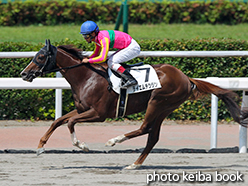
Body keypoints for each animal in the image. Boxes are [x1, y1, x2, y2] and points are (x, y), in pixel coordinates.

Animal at [20, 40, 247, 169]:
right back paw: (135, 164)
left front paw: (82, 145)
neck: (86, 76)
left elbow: (70, 123)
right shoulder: (83, 109)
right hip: (165, 108)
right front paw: (40, 147)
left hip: (158, 101)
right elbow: (58, 121)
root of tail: (186, 78)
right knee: (153, 136)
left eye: (41, 56)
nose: (24, 74)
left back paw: (114, 141)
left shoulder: (99, 114)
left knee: (144, 128)